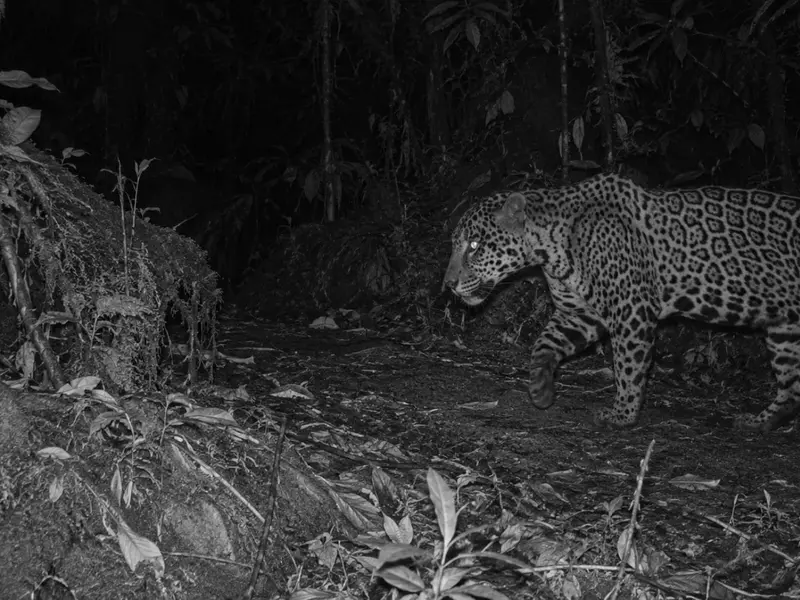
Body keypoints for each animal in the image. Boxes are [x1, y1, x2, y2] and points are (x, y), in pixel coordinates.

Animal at [443, 173, 800, 431]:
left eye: (474, 245)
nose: (448, 284)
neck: (551, 246)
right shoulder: (578, 313)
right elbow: (543, 344)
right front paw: (540, 389)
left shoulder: (631, 311)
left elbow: (627, 367)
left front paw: (623, 415)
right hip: (786, 330)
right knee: (791, 387)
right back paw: (760, 423)